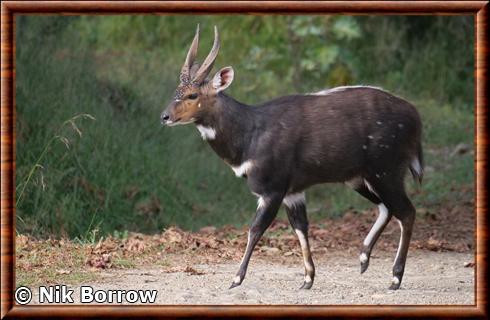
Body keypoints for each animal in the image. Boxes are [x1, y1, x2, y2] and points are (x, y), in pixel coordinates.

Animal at [162, 25, 424, 290]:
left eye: (193, 95)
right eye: (176, 91)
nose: (165, 116)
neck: (250, 134)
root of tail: (415, 116)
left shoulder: (273, 188)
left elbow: (256, 229)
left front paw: (236, 279)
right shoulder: (293, 192)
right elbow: (300, 227)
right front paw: (307, 279)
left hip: (385, 171)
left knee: (407, 211)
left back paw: (395, 277)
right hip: (359, 178)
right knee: (386, 208)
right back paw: (363, 258)